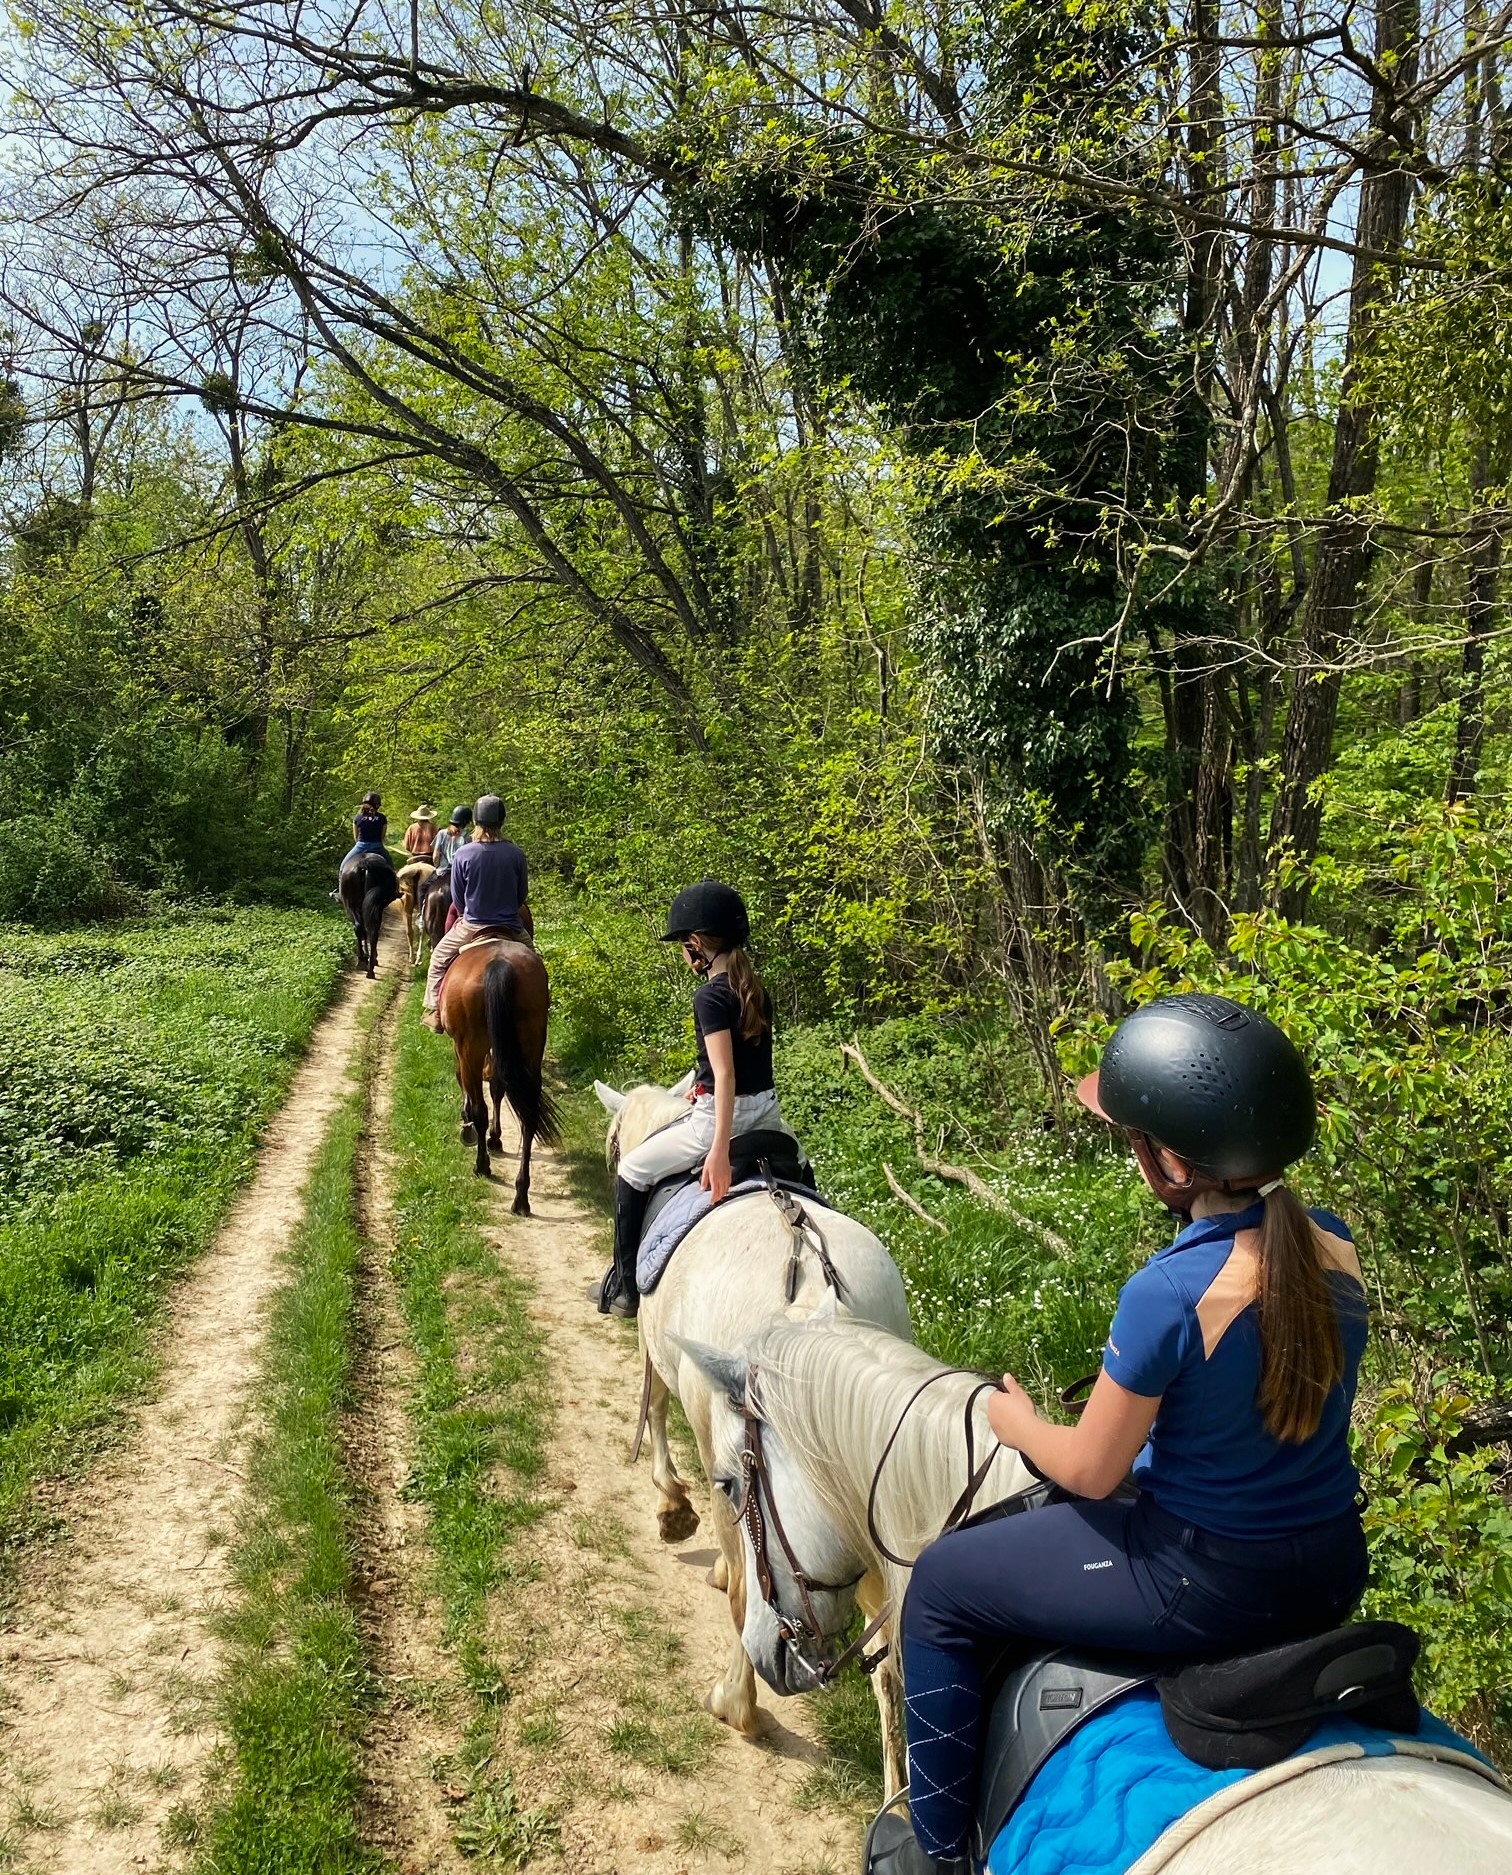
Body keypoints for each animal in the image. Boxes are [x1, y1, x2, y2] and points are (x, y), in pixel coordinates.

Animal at [335, 847, 395, 975]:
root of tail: (364, 864)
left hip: (351, 906)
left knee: (361, 928)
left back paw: (364, 962)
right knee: (371, 930)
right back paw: (370, 967)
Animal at [440, 937, 566, 1215]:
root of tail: (500, 965)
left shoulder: (461, 1049)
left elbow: (469, 1085)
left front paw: (471, 1125)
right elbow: (498, 1087)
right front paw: (496, 1137)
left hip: (471, 1047)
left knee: (481, 1109)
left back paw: (482, 1166)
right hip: (531, 1046)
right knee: (528, 1115)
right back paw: (521, 1196)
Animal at [596, 1080, 919, 1747]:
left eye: (614, 1145)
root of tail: (814, 1288)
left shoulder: (658, 1353)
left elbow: (655, 1408)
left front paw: (672, 1508)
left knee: (753, 1598)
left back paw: (735, 1702)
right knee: (887, 1658)